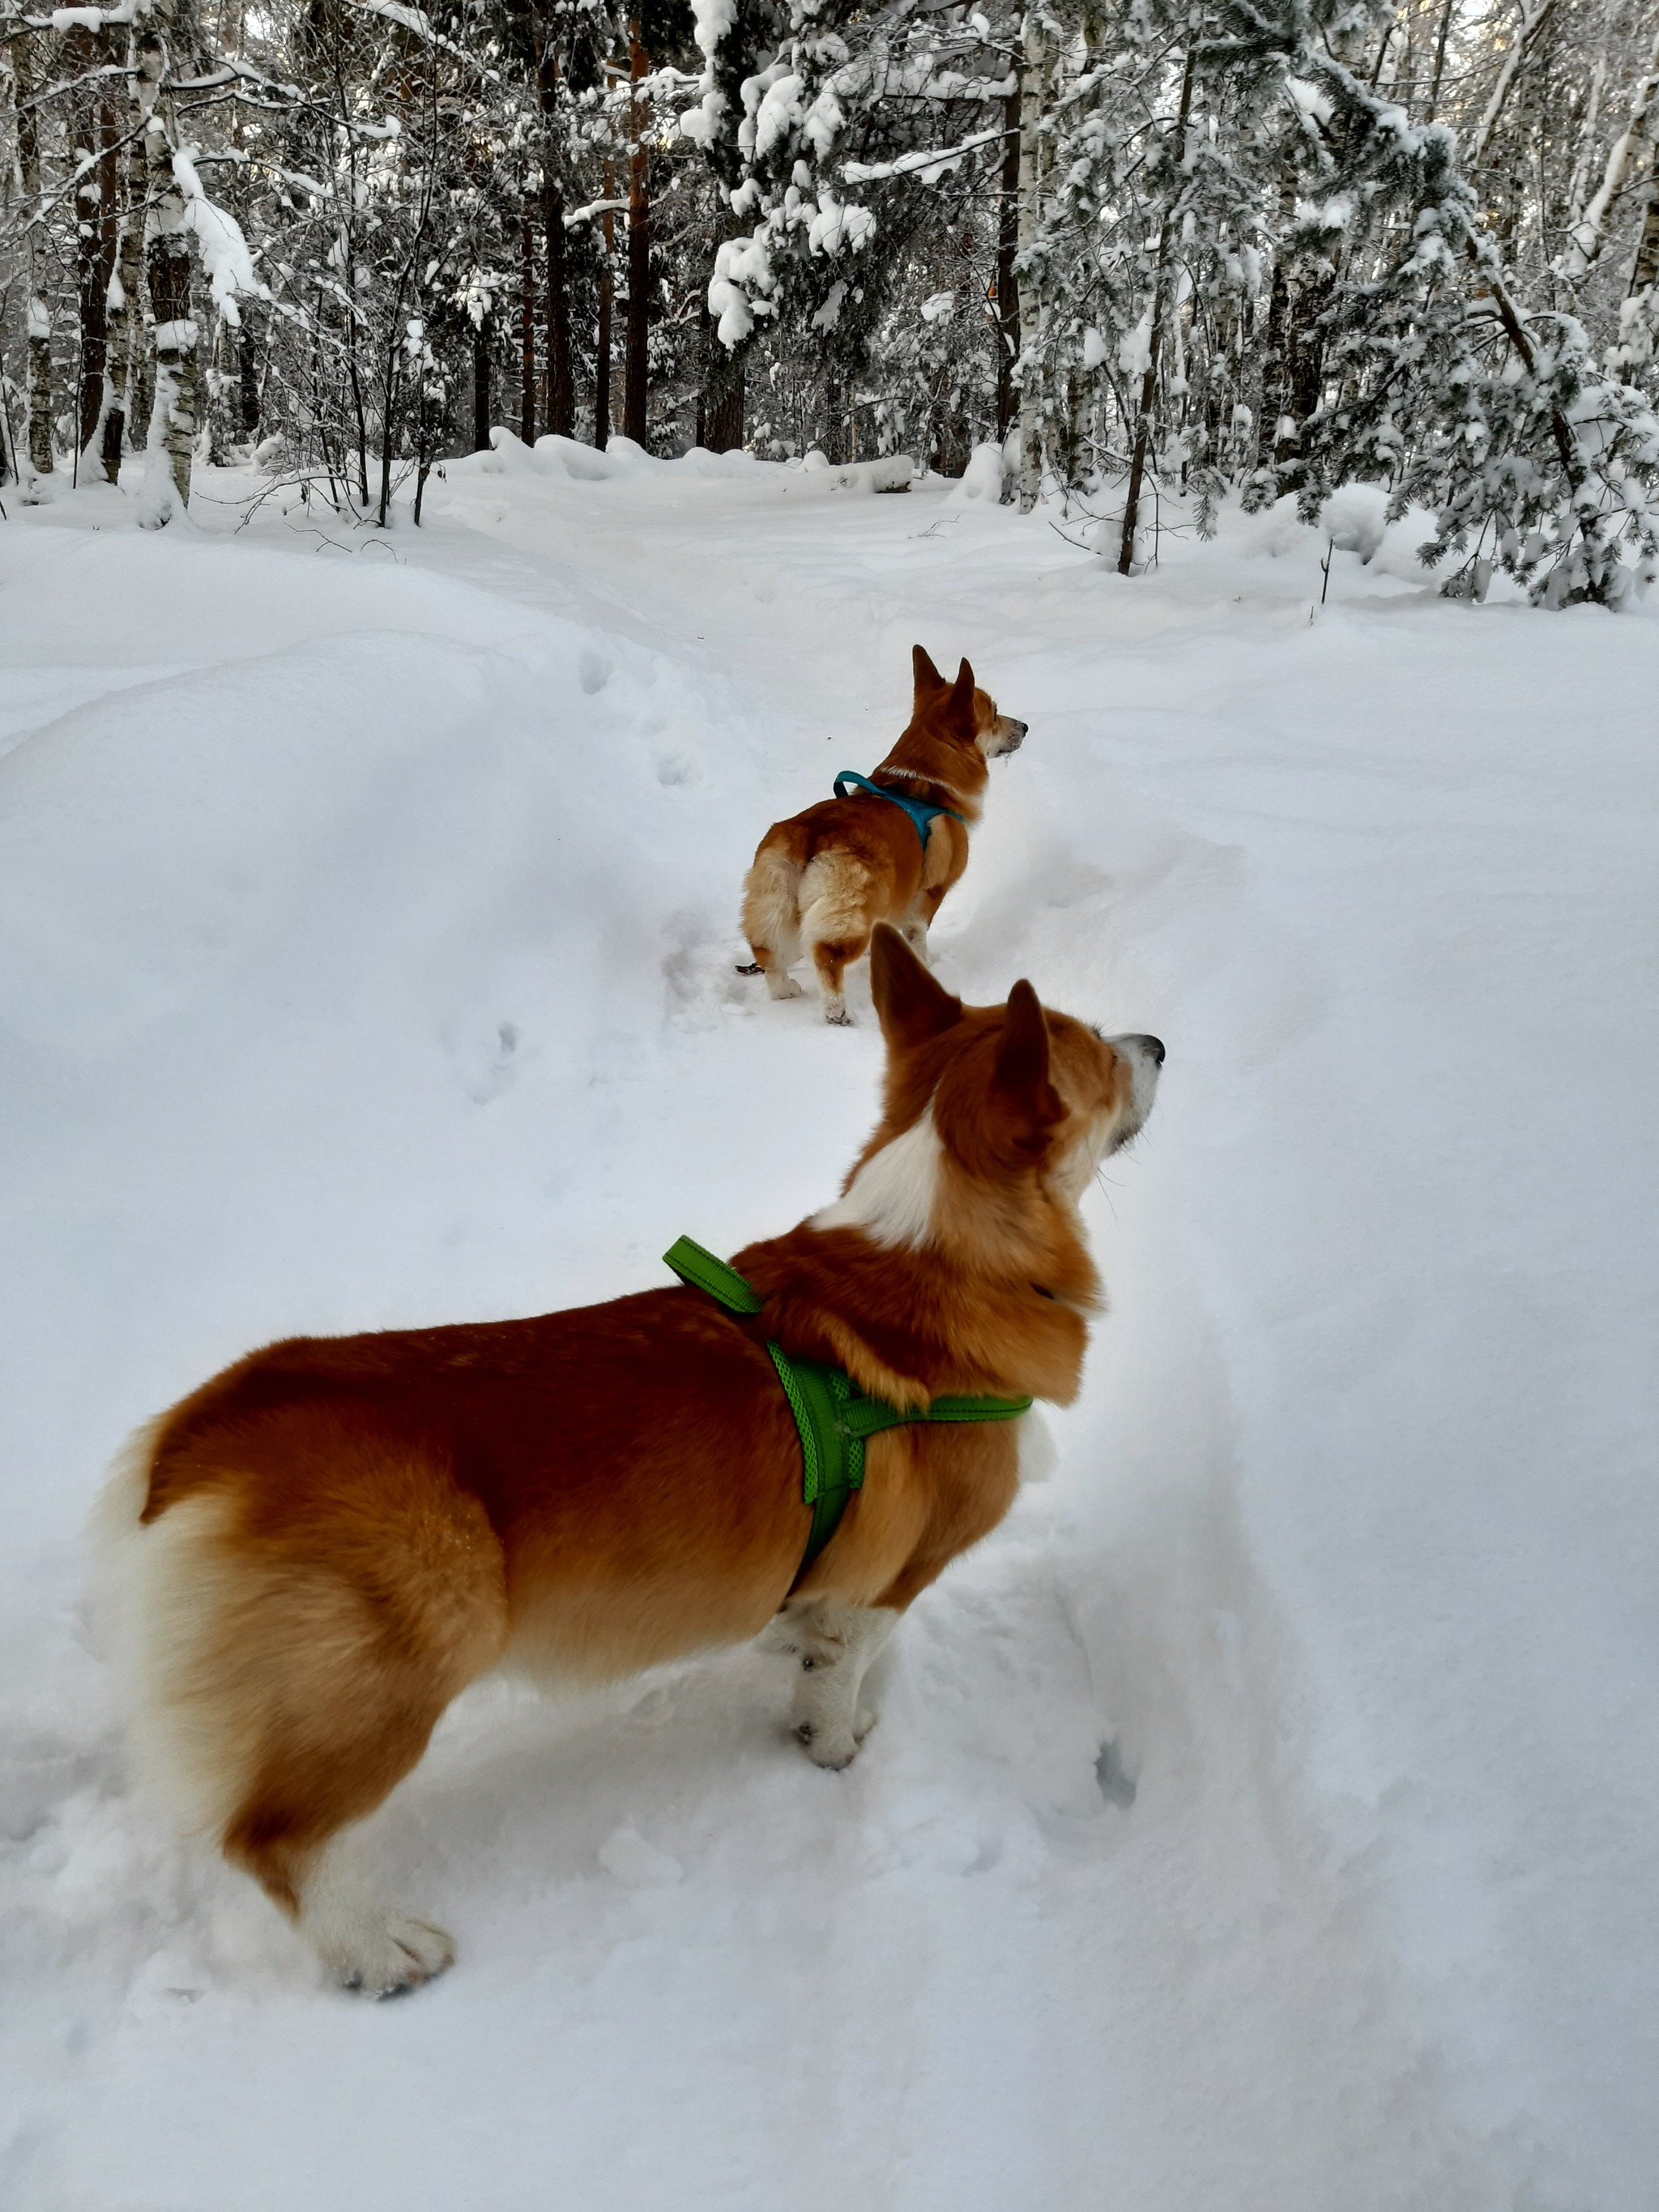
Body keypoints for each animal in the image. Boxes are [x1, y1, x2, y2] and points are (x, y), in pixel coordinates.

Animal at [97, 924, 1158, 1999]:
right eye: (1099, 1056)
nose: (1156, 1042)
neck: (948, 1246)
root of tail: (203, 1435)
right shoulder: (896, 1578)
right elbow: (840, 1674)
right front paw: (836, 1742)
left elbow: (814, 1635)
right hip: (397, 1671)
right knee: (273, 1839)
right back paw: (381, 1947)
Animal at [739, 641, 1026, 1017]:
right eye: (994, 714)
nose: (1025, 726)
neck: (926, 783)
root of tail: (808, 835)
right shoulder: (928, 895)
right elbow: (918, 936)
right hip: (849, 911)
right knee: (828, 958)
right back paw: (838, 1014)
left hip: (773, 902)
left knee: (769, 955)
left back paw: (786, 990)